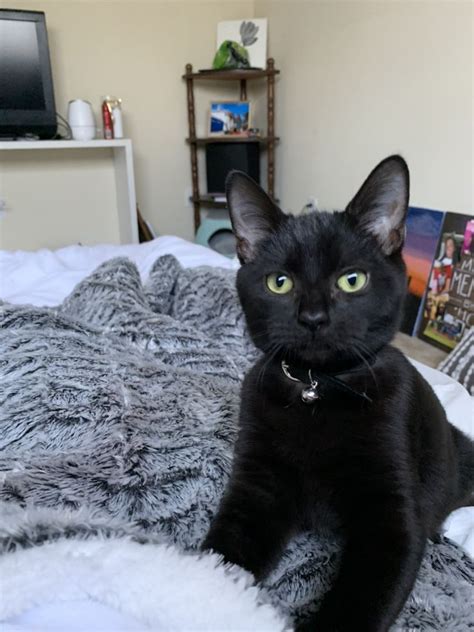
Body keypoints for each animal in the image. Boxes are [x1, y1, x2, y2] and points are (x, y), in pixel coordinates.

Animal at [203, 154, 474, 632]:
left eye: (352, 280)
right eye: (279, 283)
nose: (313, 317)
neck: (318, 390)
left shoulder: (390, 519)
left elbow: (360, 600)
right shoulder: (257, 488)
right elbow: (218, 560)